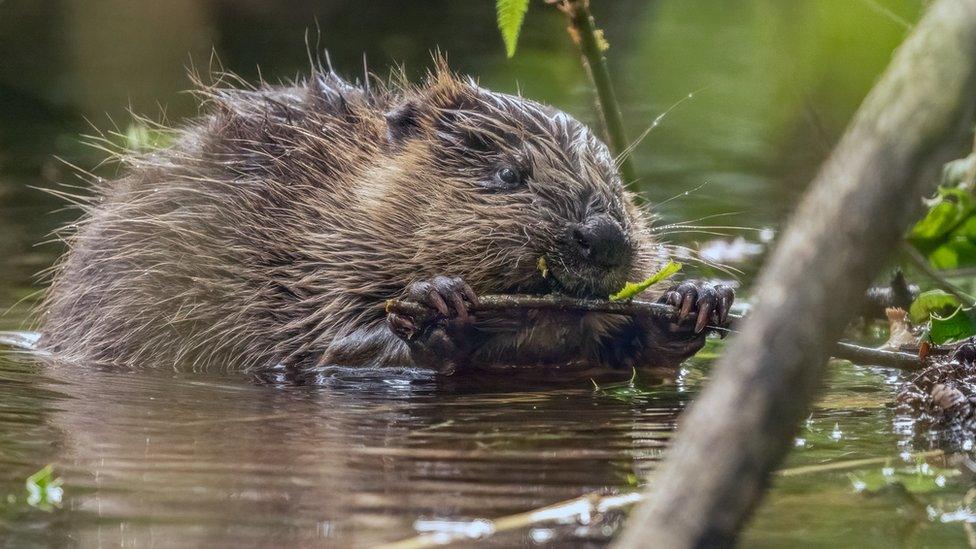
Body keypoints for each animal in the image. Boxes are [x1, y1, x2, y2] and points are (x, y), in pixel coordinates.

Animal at [38, 62, 736, 374]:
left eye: (618, 183)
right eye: (509, 173)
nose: (606, 236)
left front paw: (696, 299)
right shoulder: (292, 255)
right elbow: (320, 345)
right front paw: (438, 304)